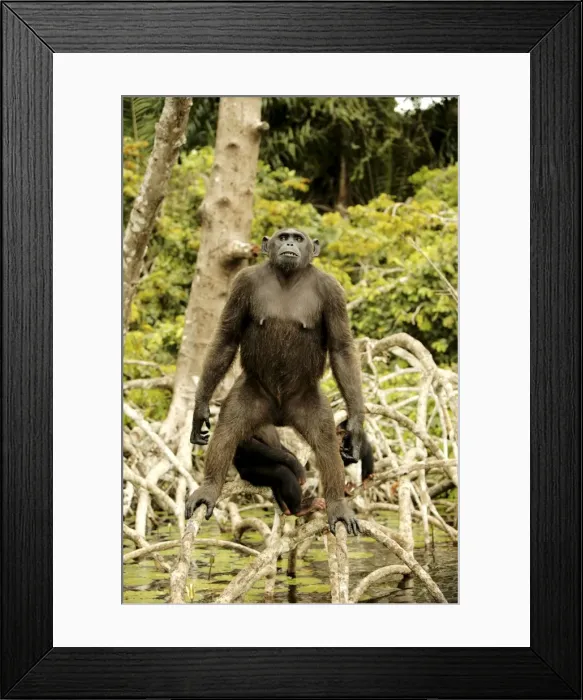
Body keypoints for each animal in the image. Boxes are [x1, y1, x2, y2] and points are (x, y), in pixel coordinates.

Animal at [186, 227, 365, 535]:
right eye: (283, 236)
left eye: (299, 237)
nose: (290, 243)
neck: (288, 277)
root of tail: (280, 415)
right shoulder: (242, 283)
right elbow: (226, 338)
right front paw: (200, 409)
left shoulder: (333, 292)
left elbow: (341, 348)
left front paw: (354, 426)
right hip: (252, 396)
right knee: (227, 431)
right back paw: (209, 488)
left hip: (306, 402)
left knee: (326, 442)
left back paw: (336, 505)